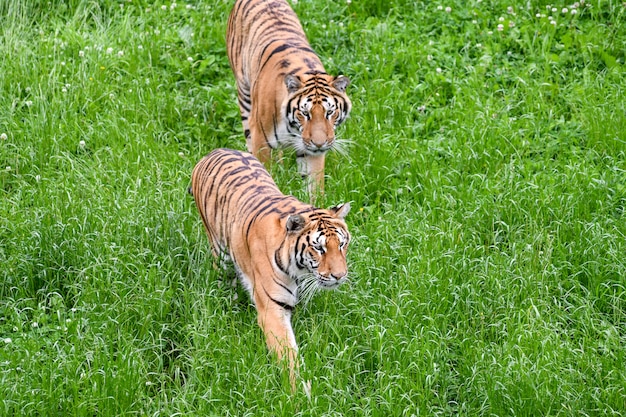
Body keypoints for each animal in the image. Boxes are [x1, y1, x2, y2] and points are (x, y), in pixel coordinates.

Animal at [189, 147, 352, 390]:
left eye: (342, 244)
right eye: (318, 248)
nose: (340, 276)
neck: (301, 271)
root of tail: (216, 150)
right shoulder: (272, 309)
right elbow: (288, 354)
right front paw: (299, 392)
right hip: (220, 253)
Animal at [225, 0, 352, 200]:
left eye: (330, 112)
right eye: (305, 113)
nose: (319, 143)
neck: (293, 128)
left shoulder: (311, 151)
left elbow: (314, 185)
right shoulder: (261, 139)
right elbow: (265, 172)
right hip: (244, 97)